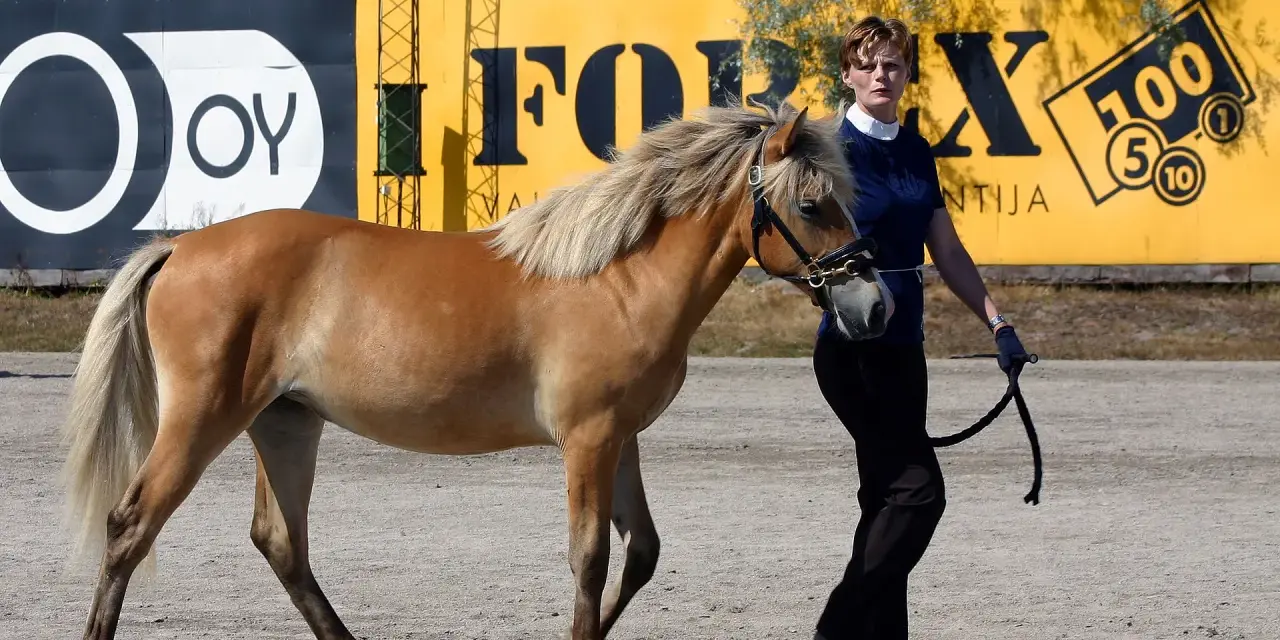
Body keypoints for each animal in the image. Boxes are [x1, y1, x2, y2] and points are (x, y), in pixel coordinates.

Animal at [59, 99, 893, 640]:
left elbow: (643, 554)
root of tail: (180, 247)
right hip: (202, 420)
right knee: (130, 528)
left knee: (281, 543)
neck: (617, 276)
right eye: (813, 205)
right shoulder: (588, 441)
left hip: (285, 424)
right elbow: (590, 561)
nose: (874, 305)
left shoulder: (621, 438)